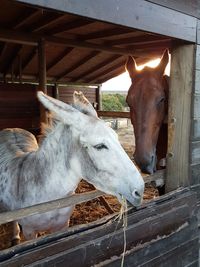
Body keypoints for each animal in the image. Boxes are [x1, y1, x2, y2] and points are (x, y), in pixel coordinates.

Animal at [0, 91, 144, 245]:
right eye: (99, 146)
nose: (140, 191)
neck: (52, 199)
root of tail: (12, 128)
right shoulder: (29, 232)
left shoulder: (63, 225)